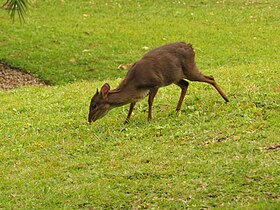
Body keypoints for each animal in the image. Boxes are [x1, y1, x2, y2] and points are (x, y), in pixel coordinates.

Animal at [88, 42, 229, 124]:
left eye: (94, 105)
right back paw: (177, 110)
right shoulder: (140, 93)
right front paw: (126, 121)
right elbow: (132, 104)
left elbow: (150, 101)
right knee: (185, 84)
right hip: (175, 77)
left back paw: (226, 98)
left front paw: (149, 118)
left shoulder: (155, 83)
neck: (135, 84)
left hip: (189, 69)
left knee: (210, 77)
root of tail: (191, 47)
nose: (89, 120)